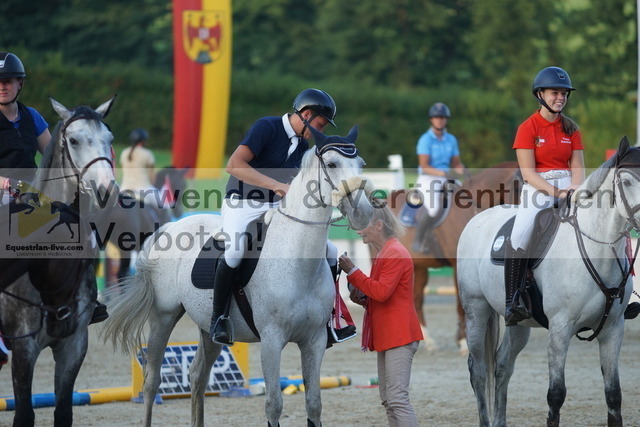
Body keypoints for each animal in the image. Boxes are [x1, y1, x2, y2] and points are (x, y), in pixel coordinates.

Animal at [0, 97, 118, 427]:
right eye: (74, 141)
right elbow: (24, 414)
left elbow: (64, 411)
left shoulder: (73, 344)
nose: (106, 190)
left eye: (110, 139)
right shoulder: (24, 347)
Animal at [102, 125, 374, 427]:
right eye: (332, 164)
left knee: (197, 375)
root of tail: (168, 228)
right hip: (163, 316)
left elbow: (314, 404)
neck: (297, 258)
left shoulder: (314, 341)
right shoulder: (271, 340)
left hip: (207, 327)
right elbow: (273, 405)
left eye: (361, 164)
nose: (363, 213)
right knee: (152, 381)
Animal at [387, 162, 521, 351]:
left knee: (417, 298)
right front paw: (464, 341)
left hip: (418, 266)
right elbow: (460, 303)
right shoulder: (458, 264)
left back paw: (427, 339)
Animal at [457, 137, 639, 426]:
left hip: (518, 323)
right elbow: (556, 394)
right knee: (479, 370)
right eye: (627, 181)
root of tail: (478, 218)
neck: (594, 248)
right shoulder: (560, 328)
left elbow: (613, 395)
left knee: (502, 365)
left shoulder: (613, 329)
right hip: (476, 311)